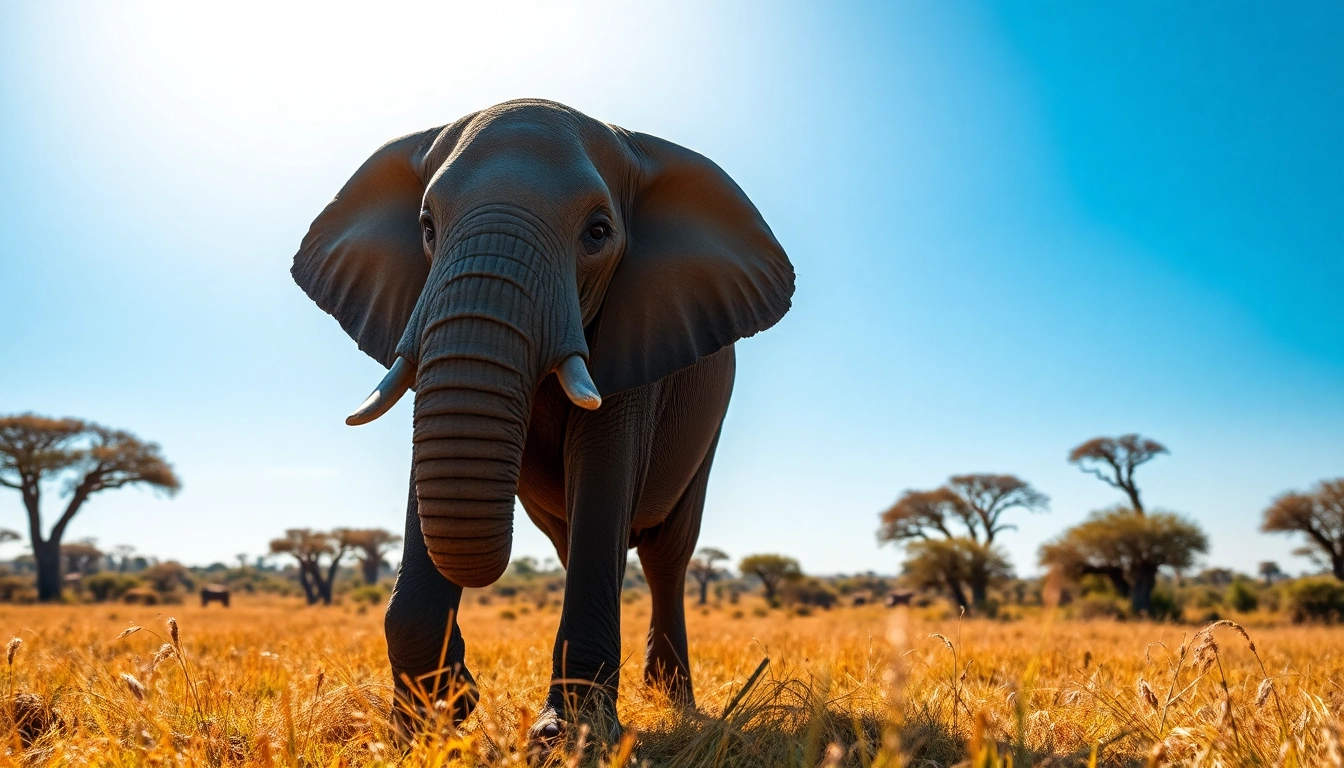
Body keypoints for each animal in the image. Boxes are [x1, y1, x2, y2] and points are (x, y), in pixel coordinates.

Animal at [291, 99, 793, 746]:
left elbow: (603, 473)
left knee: (667, 553)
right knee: (573, 540)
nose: (466, 684)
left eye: (597, 233)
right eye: (426, 227)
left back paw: (673, 700)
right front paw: (427, 726)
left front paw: (567, 740)